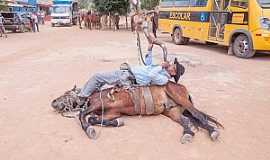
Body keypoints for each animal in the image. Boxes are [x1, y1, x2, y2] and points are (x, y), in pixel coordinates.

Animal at [51, 82, 223, 143]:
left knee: (199, 115)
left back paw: (213, 132)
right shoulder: (110, 113)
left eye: (66, 93)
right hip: (172, 111)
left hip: (179, 97)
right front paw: (117, 123)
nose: (53, 102)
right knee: (187, 121)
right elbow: (95, 119)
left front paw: (89, 130)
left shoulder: (97, 104)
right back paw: (187, 134)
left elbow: (82, 116)